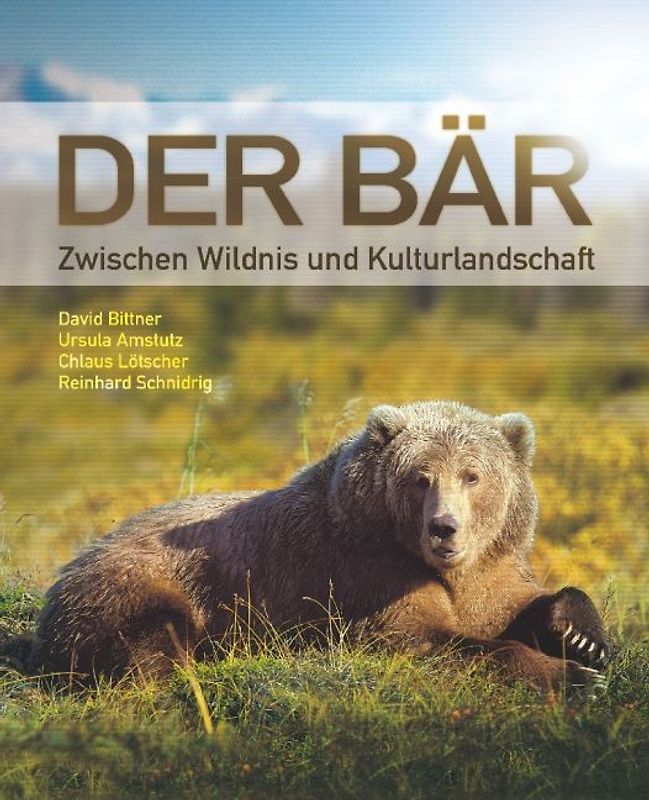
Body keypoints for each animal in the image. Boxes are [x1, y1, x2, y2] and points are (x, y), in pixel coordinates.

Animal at [29, 400, 609, 688]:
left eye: (472, 476)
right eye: (420, 477)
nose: (444, 528)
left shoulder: (492, 571)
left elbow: (523, 601)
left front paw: (583, 641)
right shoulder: (364, 576)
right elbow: (420, 638)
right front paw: (573, 678)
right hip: (140, 580)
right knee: (149, 637)